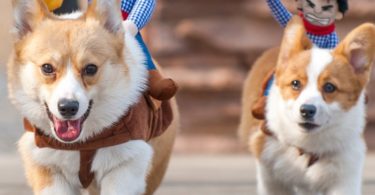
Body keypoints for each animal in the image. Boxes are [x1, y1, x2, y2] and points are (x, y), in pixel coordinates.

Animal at [8, 0, 178, 195]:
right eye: (47, 68)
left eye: (90, 68)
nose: (68, 107)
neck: (82, 144)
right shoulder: (46, 164)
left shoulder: (126, 164)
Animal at [241, 17, 375, 195]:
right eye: (295, 83)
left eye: (329, 87)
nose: (306, 111)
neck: (307, 149)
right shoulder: (272, 177)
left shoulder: (345, 178)